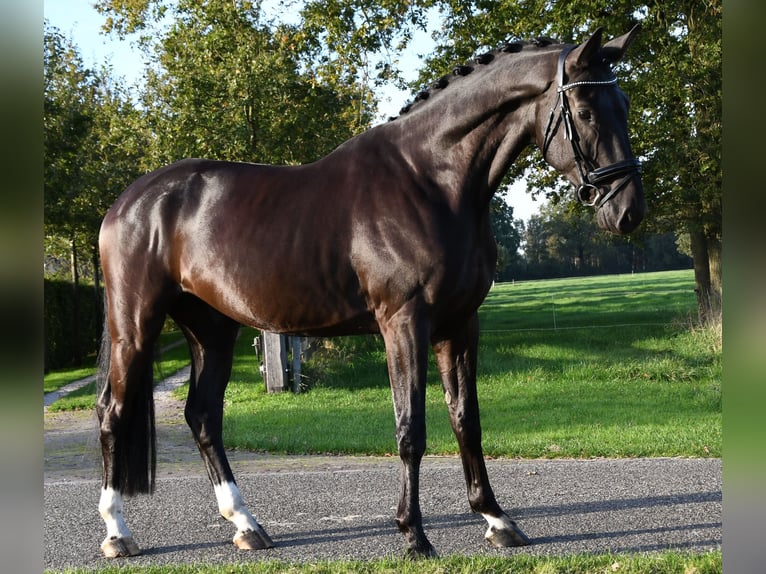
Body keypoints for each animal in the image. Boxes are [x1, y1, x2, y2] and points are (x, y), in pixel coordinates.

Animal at [96, 25, 648, 560]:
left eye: (623, 104)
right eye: (585, 111)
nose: (627, 212)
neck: (430, 179)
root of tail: (128, 202)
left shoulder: (460, 324)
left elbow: (466, 420)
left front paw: (497, 520)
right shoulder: (403, 323)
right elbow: (411, 429)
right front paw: (414, 535)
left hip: (212, 329)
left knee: (203, 416)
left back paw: (247, 525)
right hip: (135, 328)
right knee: (113, 413)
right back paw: (118, 533)